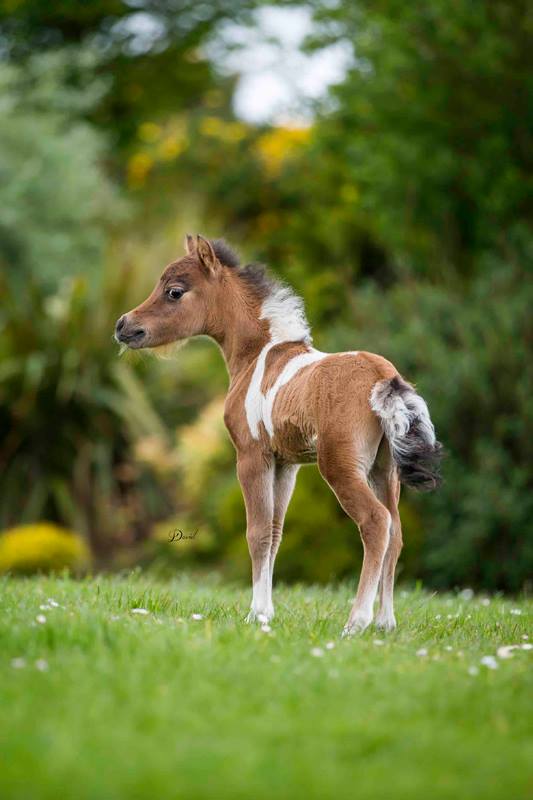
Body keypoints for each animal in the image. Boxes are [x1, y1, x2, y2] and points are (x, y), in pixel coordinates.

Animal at [115, 235, 442, 635]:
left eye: (174, 292)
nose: (124, 325)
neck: (257, 355)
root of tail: (385, 376)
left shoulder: (251, 456)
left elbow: (256, 532)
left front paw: (256, 614)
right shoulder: (286, 464)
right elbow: (275, 532)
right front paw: (266, 610)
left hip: (341, 466)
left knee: (376, 523)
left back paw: (357, 622)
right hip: (385, 469)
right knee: (395, 530)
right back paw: (386, 622)